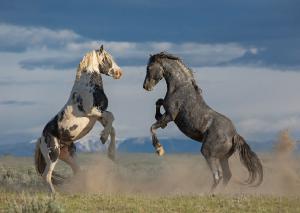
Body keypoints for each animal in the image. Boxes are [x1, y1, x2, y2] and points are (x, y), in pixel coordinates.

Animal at [35, 45, 123, 193]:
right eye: (107, 58)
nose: (119, 73)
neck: (88, 88)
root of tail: (40, 139)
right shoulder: (93, 112)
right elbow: (112, 117)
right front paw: (103, 138)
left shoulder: (97, 116)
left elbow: (112, 128)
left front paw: (112, 154)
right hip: (53, 154)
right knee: (47, 176)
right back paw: (55, 195)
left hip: (68, 155)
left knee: (77, 172)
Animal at [143, 52, 262, 191]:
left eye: (149, 68)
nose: (146, 86)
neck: (179, 87)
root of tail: (234, 135)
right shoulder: (167, 109)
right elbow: (159, 102)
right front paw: (159, 118)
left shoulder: (171, 115)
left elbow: (152, 127)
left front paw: (159, 149)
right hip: (222, 157)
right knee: (227, 175)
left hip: (208, 153)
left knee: (218, 175)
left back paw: (206, 193)